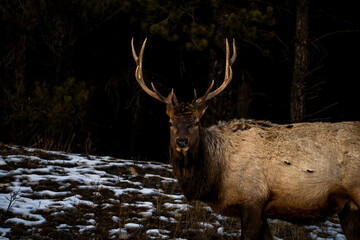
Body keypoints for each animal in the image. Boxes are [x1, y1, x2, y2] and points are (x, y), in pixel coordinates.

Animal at [131, 38, 360, 240]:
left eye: (196, 122)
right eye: (170, 123)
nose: (181, 142)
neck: (216, 175)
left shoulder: (252, 200)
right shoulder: (261, 209)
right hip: (347, 207)